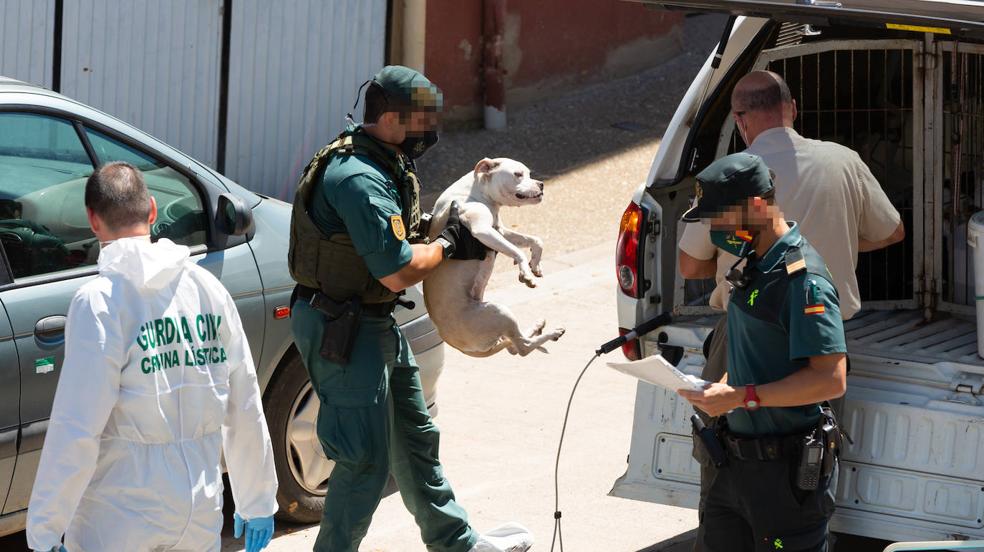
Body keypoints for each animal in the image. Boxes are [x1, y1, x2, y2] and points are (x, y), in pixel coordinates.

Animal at [424, 157, 568, 356]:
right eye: (517, 174)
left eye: (529, 173)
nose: (541, 184)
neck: (476, 191)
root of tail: (456, 345)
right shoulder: (483, 231)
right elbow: (518, 251)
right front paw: (526, 273)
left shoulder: (500, 231)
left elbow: (534, 241)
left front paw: (535, 264)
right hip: (499, 313)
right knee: (523, 347)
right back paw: (552, 333)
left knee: (514, 346)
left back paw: (538, 327)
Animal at [676, 152, 844, 552]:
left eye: (716, 213)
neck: (773, 249)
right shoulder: (721, 511)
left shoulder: (812, 292)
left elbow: (827, 376)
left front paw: (724, 397)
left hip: (786, 525)